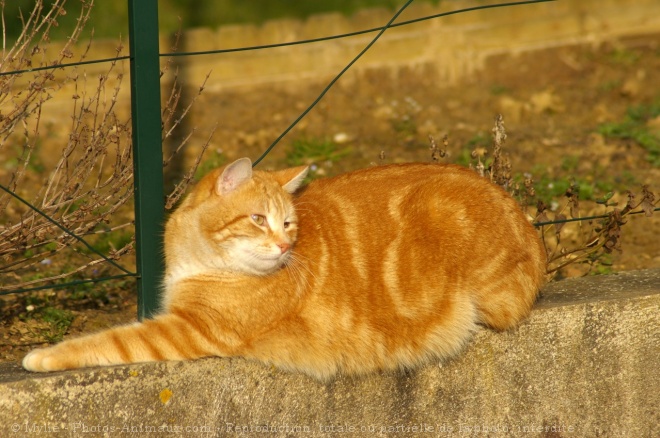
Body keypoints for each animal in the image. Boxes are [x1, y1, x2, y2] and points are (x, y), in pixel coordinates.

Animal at [23, 158, 548, 380]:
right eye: (259, 219)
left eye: (289, 223)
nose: (281, 245)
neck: (199, 259)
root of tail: (527, 226)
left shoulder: (189, 331)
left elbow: (105, 342)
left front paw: (41, 357)